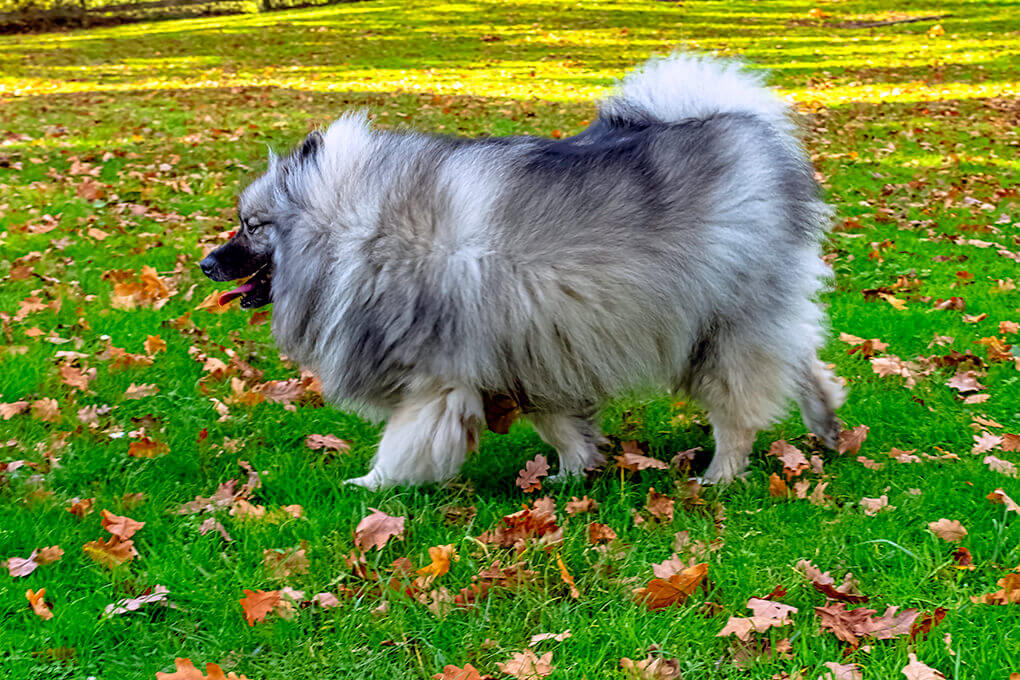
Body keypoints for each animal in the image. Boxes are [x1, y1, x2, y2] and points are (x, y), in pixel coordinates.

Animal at [198, 53, 844, 489]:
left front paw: (372, 486)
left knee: (740, 410)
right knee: (805, 366)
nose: (205, 263)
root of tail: (747, 128)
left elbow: (403, 442)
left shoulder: (438, 379)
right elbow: (563, 430)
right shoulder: (535, 357)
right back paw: (828, 428)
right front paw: (572, 475)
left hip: (722, 329)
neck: (356, 230)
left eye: (251, 226)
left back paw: (721, 475)